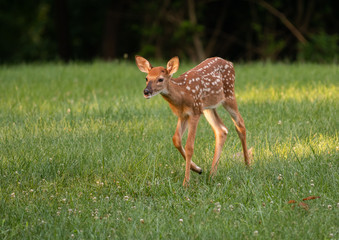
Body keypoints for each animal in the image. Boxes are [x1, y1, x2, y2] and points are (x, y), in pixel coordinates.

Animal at [135, 55, 250, 187]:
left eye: (160, 79)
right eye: (146, 78)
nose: (146, 92)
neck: (182, 94)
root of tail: (230, 63)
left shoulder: (194, 112)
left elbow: (189, 146)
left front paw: (186, 182)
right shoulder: (183, 115)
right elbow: (176, 139)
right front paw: (197, 169)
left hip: (228, 95)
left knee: (240, 124)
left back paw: (247, 165)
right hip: (208, 107)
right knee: (221, 130)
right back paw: (212, 174)